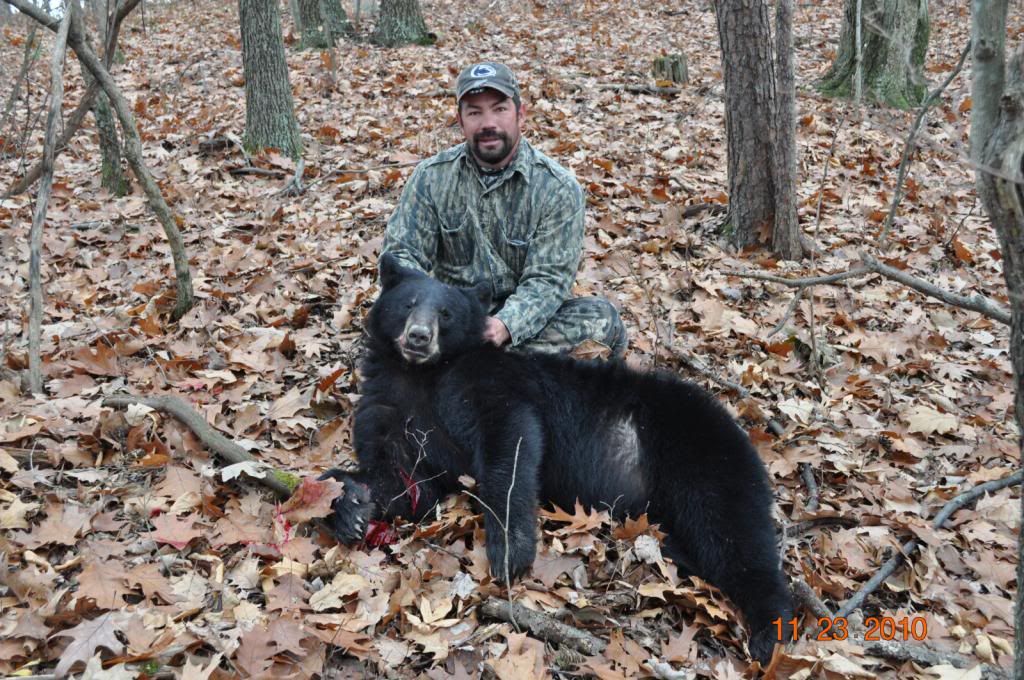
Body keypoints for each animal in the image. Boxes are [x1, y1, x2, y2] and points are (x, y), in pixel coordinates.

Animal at [320, 253, 793, 663]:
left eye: (447, 314)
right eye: (409, 303)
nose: (419, 336)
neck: (422, 374)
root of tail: (742, 430)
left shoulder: (487, 381)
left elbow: (510, 440)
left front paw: (509, 550)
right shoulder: (390, 406)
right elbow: (407, 480)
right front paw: (350, 506)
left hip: (702, 459)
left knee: (733, 536)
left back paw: (771, 633)